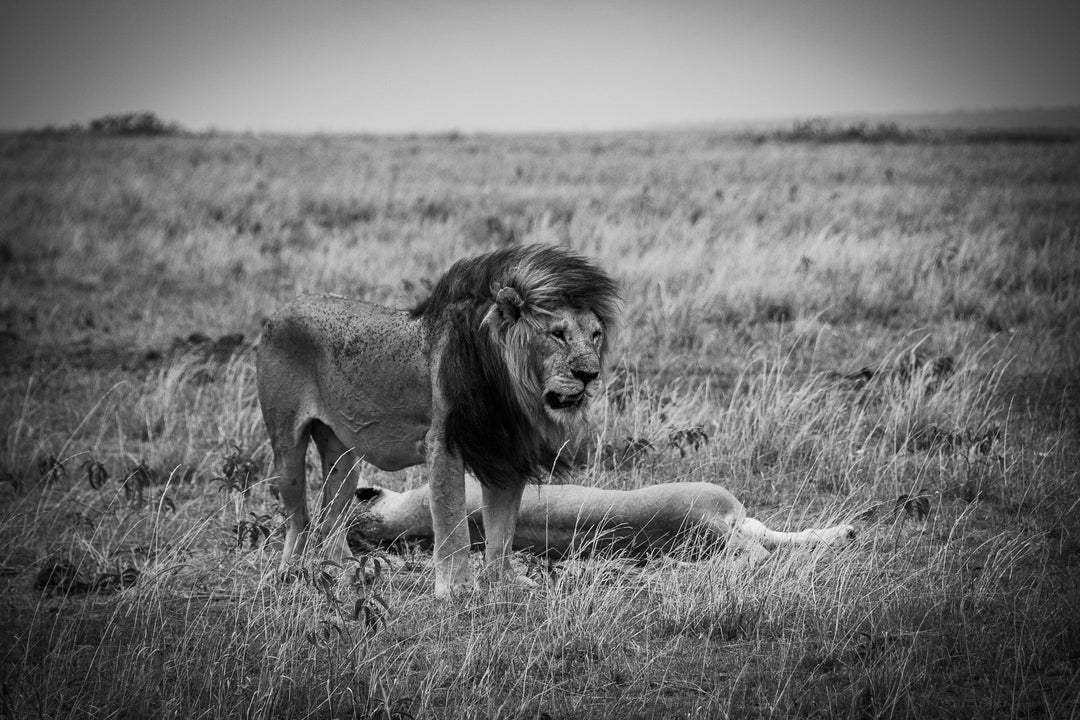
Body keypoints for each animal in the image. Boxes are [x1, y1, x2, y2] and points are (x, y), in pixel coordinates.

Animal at [253, 245, 622, 595]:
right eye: (557, 334)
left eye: (596, 335)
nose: (589, 374)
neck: (511, 391)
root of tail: (283, 308)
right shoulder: (443, 444)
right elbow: (452, 520)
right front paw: (456, 589)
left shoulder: (504, 452)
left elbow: (502, 529)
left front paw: (503, 582)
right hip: (286, 446)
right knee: (299, 518)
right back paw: (290, 574)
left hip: (342, 455)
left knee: (331, 518)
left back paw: (349, 574)